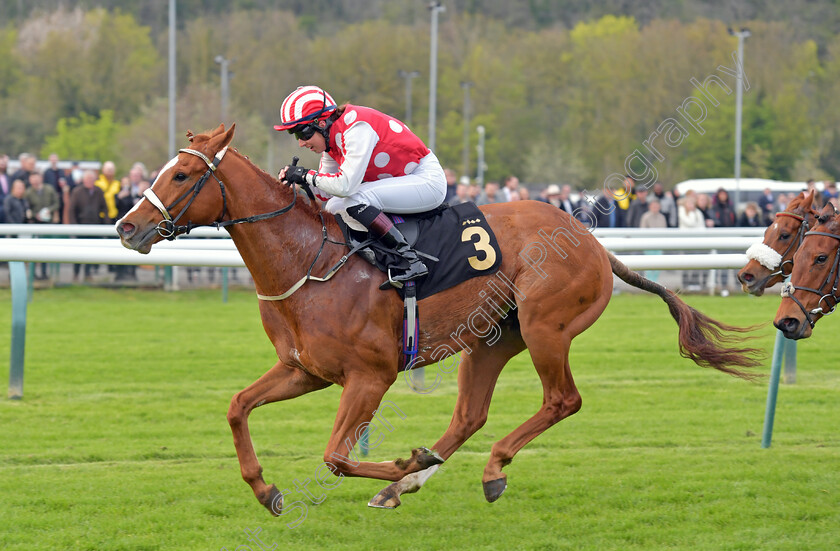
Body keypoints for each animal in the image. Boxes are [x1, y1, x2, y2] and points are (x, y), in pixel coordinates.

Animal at [116, 126, 760, 516]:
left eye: (180, 175)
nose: (126, 226)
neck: (310, 261)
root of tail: (591, 240)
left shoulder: (370, 375)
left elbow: (335, 456)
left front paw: (403, 462)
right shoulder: (304, 370)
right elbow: (237, 407)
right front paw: (267, 489)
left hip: (546, 327)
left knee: (562, 400)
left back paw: (476, 471)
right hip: (491, 340)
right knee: (470, 414)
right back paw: (419, 479)